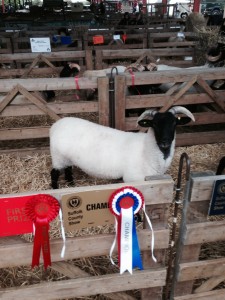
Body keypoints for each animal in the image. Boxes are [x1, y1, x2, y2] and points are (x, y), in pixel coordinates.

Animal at [49, 106, 195, 189]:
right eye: (154, 124)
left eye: (174, 123)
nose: (165, 141)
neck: (146, 151)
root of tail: (55, 126)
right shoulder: (133, 179)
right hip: (57, 156)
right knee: (54, 173)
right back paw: (56, 189)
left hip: (66, 158)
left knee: (68, 169)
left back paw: (71, 185)